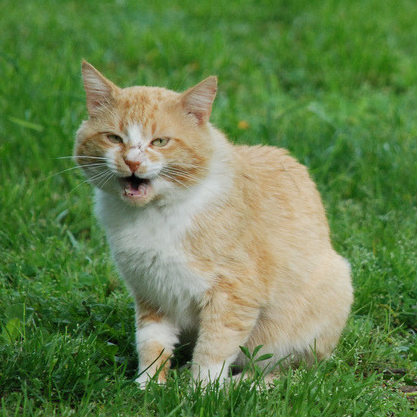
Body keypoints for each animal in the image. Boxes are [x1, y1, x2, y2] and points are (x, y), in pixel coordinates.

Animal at [74, 60, 352, 386]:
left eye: (160, 141)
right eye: (114, 138)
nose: (132, 162)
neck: (154, 214)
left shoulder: (233, 295)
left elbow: (213, 349)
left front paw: (201, 390)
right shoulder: (151, 292)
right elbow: (151, 344)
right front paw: (148, 386)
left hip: (326, 297)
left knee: (290, 369)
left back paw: (247, 385)